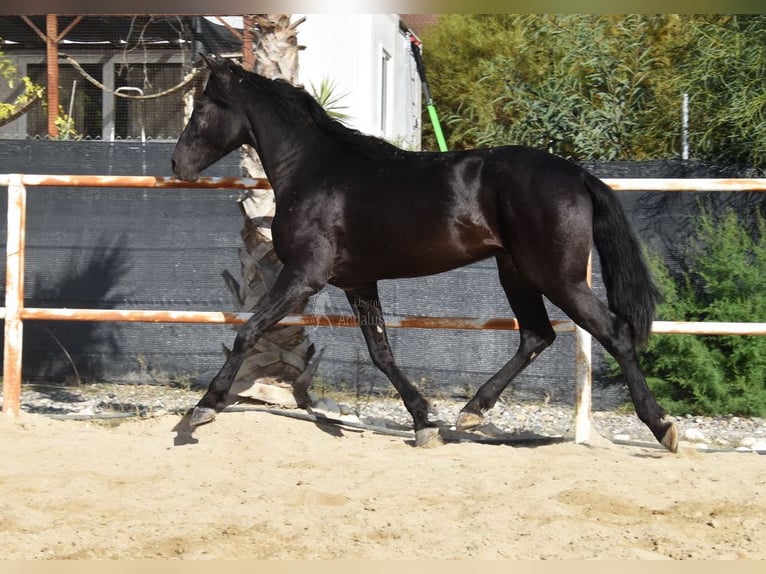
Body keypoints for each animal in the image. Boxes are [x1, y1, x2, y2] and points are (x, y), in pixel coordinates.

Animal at [172, 54, 680, 452]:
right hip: (516, 272)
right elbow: (381, 353)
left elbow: (248, 331)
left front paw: (203, 409)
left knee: (613, 332)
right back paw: (471, 412)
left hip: (559, 277)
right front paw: (424, 422)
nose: (177, 163)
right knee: (536, 335)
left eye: (202, 108)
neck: (316, 171)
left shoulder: (304, 275)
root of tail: (578, 176)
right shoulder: (358, 282)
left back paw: (662, 427)